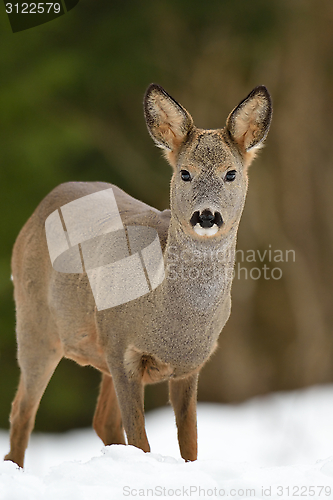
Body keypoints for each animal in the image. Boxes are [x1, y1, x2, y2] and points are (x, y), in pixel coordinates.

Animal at [4, 84, 270, 466]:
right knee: (22, 411)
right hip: (35, 325)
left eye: (231, 173)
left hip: (94, 350)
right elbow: (142, 442)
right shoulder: (122, 350)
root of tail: (41, 206)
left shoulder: (190, 365)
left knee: (102, 421)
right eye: (184, 172)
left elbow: (190, 446)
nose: (206, 216)